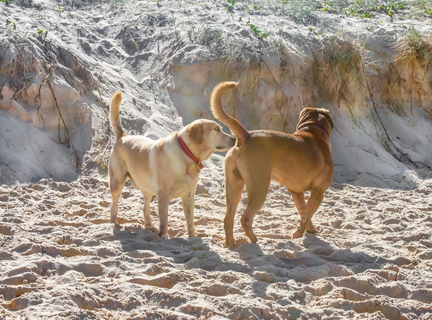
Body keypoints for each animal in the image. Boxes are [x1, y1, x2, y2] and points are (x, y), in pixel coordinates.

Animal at [108, 91, 236, 239]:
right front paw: (164, 235)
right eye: (216, 129)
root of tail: (123, 136)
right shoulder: (164, 195)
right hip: (117, 182)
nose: (235, 139)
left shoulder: (189, 195)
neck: (186, 155)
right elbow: (164, 219)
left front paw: (192, 237)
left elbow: (190, 220)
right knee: (114, 205)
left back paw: (148, 225)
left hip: (146, 188)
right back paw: (114, 223)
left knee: (145, 207)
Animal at [211, 81, 336, 249]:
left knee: (228, 219)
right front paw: (299, 233)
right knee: (246, 219)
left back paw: (231, 245)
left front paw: (308, 230)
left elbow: (304, 213)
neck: (314, 130)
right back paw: (255, 241)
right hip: (259, 188)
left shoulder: (296, 192)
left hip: (234, 186)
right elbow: (307, 214)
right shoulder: (318, 193)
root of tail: (246, 135)